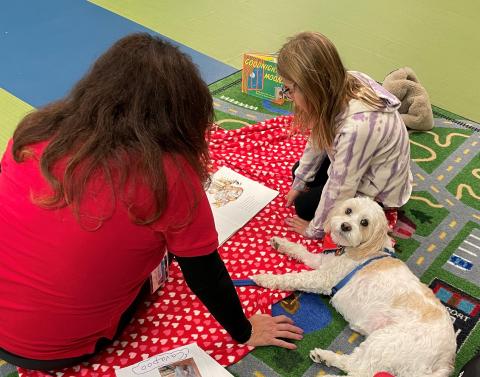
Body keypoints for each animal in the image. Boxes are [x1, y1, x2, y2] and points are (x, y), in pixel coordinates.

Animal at [253, 197, 456, 376]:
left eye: (365, 222)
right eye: (348, 210)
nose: (345, 226)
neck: (355, 249)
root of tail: (445, 360)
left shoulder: (323, 279)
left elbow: (295, 278)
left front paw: (264, 278)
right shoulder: (322, 262)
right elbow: (301, 251)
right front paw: (281, 243)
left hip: (387, 341)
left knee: (358, 369)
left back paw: (327, 364)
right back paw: (326, 357)